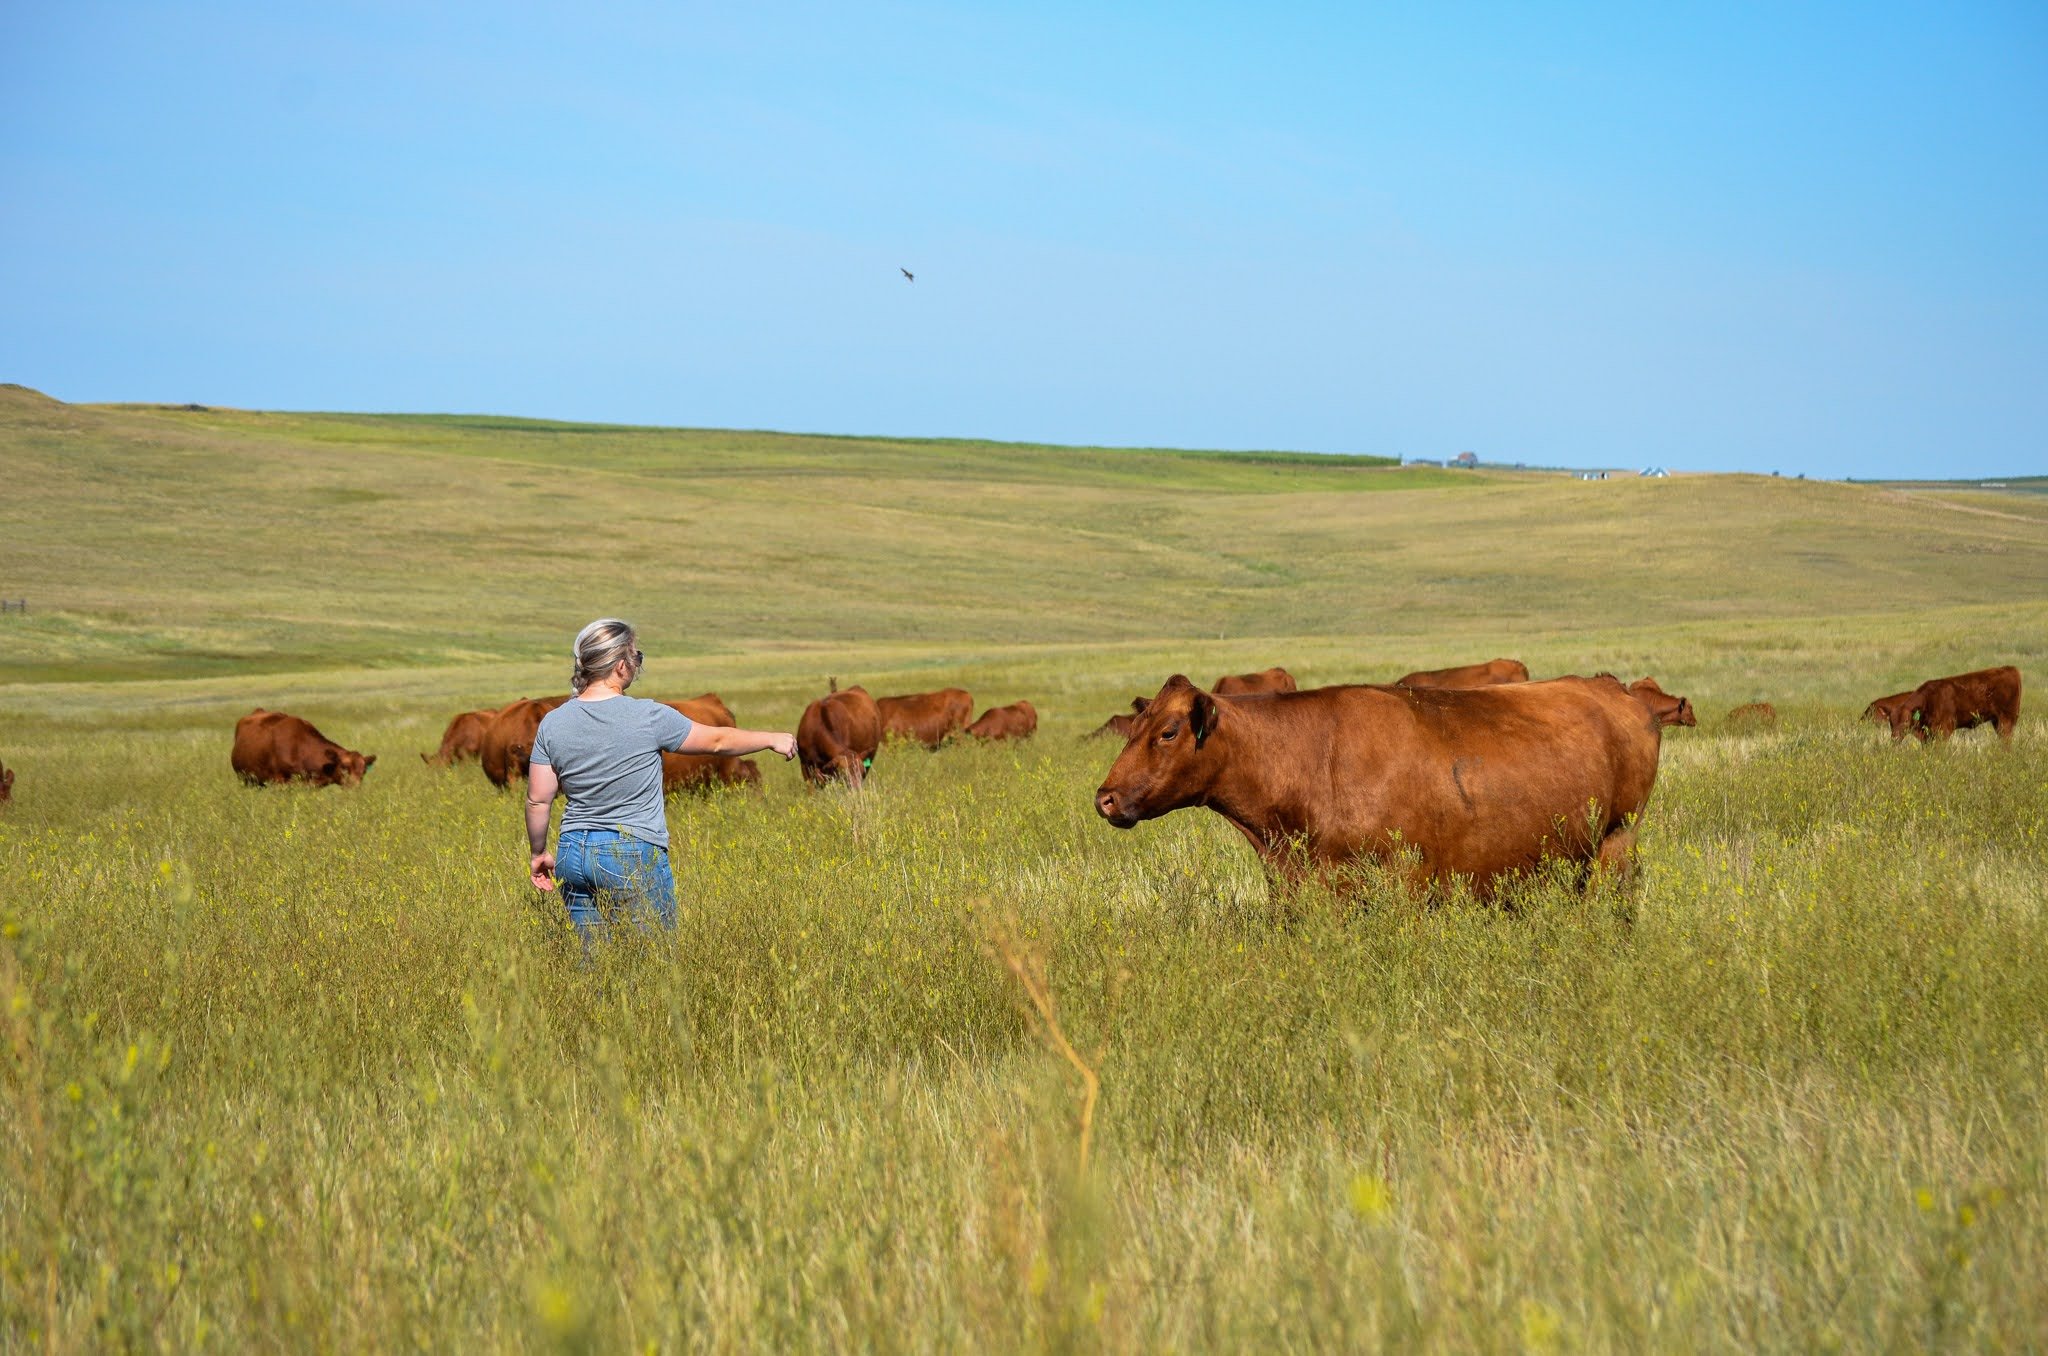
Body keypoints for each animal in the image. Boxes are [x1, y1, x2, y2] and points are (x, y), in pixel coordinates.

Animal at [1097, 675, 1654, 897]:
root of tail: (1613, 689)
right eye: (1135, 724)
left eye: (1168, 732)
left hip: (1617, 841)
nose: (1105, 797)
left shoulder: (1407, 877)